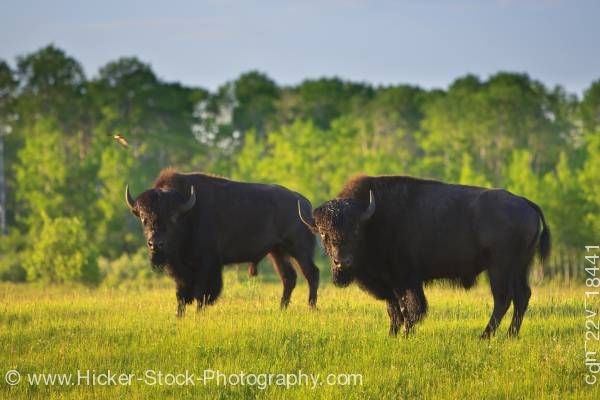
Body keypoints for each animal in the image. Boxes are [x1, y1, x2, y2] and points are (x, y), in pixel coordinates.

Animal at [125, 169, 318, 316]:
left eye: (173, 217)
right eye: (143, 218)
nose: (155, 244)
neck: (188, 211)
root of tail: (305, 203)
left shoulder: (207, 264)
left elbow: (202, 293)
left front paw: (198, 314)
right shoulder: (180, 269)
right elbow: (181, 294)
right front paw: (179, 315)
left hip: (299, 250)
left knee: (311, 273)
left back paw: (311, 307)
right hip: (277, 252)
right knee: (289, 277)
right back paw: (282, 308)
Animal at [298, 175, 552, 338]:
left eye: (355, 230)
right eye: (323, 233)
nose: (342, 262)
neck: (372, 217)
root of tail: (525, 202)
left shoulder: (407, 279)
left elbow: (412, 308)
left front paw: (406, 334)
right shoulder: (390, 283)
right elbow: (394, 309)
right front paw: (392, 334)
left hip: (499, 267)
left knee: (503, 298)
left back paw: (485, 336)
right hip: (520, 267)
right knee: (522, 296)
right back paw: (510, 335)